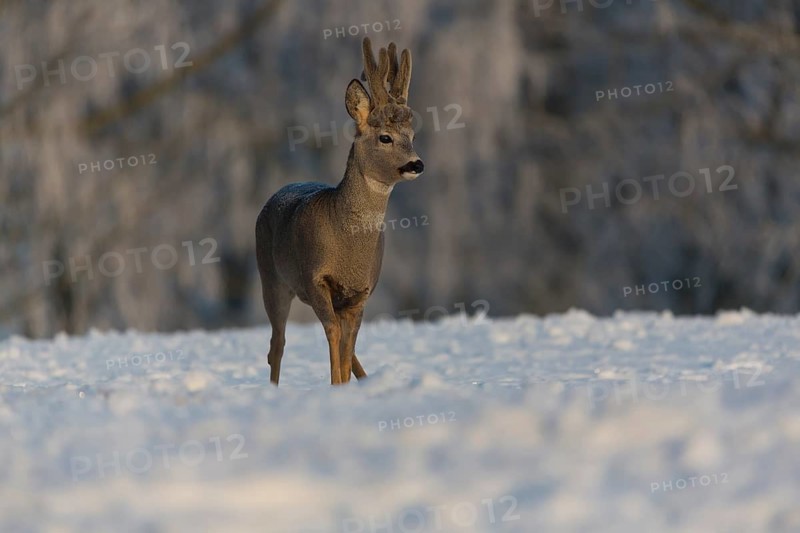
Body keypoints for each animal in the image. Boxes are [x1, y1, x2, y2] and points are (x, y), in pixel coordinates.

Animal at [255, 38, 424, 385]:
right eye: (385, 137)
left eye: (412, 137)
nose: (417, 164)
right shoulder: (315, 278)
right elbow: (333, 333)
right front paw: (335, 385)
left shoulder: (361, 292)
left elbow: (349, 343)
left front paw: (344, 384)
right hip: (272, 278)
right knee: (277, 343)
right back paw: (273, 389)